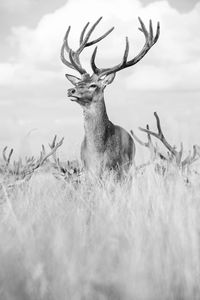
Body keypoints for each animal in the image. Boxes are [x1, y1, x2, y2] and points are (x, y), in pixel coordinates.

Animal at [60, 16, 160, 176]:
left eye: (93, 85)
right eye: (78, 82)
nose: (71, 90)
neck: (98, 153)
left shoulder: (115, 168)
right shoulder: (88, 170)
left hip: (127, 166)